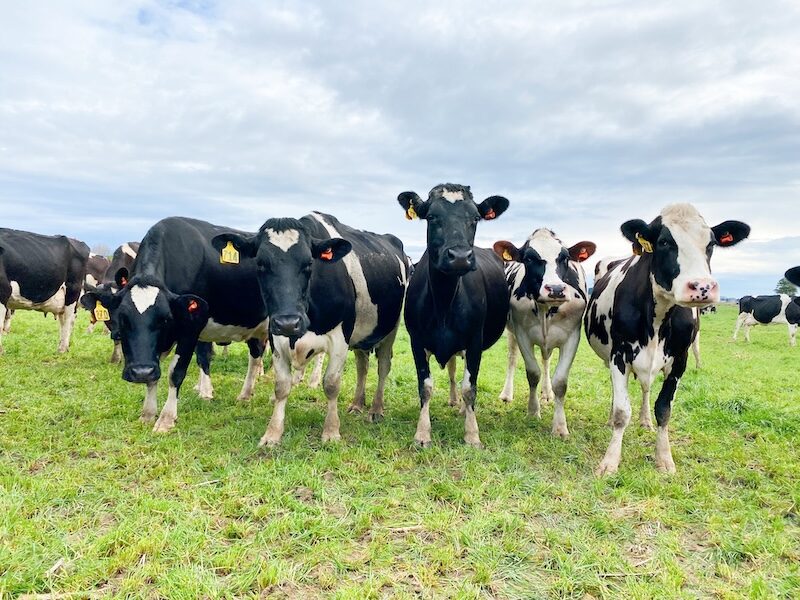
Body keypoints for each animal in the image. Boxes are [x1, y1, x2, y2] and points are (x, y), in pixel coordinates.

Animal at [80, 218, 269, 433]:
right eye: (123, 318)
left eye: (165, 318)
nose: (140, 372)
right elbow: (156, 374)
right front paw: (148, 413)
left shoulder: (191, 327)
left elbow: (176, 372)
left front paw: (166, 418)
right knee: (255, 355)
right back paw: (245, 394)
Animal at [211, 212, 409, 445]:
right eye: (260, 264)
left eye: (308, 264)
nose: (288, 322)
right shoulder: (275, 337)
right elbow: (281, 386)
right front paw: (272, 433)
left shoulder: (340, 338)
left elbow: (331, 384)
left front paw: (331, 431)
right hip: (362, 336)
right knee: (363, 366)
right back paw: (357, 404)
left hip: (391, 328)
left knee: (383, 367)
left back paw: (376, 409)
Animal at [398, 183, 510, 448]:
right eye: (431, 217)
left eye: (475, 218)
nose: (459, 256)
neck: (444, 303)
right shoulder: (416, 340)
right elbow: (425, 387)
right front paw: (422, 433)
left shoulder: (475, 341)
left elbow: (470, 386)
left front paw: (472, 434)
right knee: (450, 369)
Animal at [493, 229, 596, 438]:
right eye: (529, 259)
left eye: (565, 258)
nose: (556, 289)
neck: (545, 310)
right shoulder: (522, 333)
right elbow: (533, 373)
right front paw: (533, 412)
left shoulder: (573, 337)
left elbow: (560, 382)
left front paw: (560, 426)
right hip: (511, 333)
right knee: (512, 358)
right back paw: (507, 394)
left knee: (546, 360)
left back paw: (547, 394)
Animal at [584, 204, 749, 475]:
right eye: (663, 242)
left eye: (711, 243)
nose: (702, 287)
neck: (659, 316)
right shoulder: (619, 354)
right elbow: (621, 410)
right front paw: (610, 461)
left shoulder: (680, 359)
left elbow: (664, 409)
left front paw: (664, 458)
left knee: (645, 389)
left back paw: (645, 421)